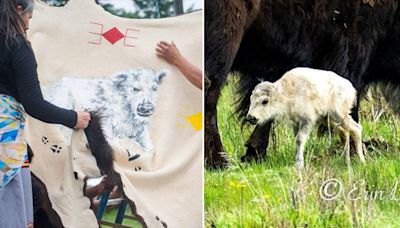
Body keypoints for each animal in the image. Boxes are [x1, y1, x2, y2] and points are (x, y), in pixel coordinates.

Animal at [205, 0, 400, 167]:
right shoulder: (353, 46)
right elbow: (350, 108)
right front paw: (354, 154)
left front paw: (254, 153)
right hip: (226, 37)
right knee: (209, 92)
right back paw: (219, 162)